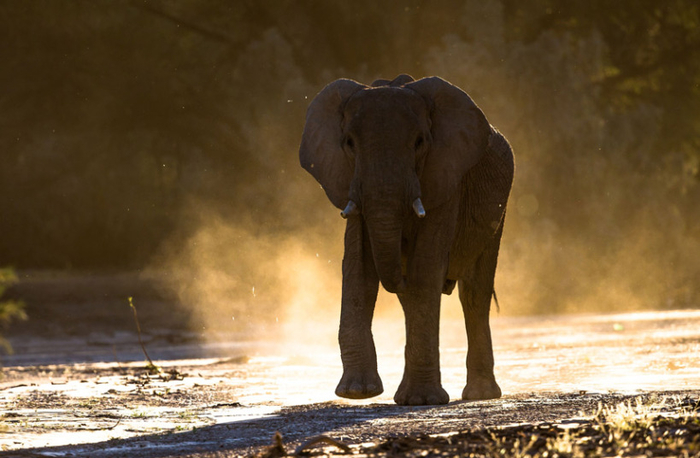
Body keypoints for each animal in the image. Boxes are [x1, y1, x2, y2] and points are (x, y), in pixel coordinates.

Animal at [296, 74, 516, 404]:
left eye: (420, 143)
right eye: (349, 143)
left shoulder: (446, 178)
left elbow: (425, 267)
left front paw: (422, 401)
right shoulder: (351, 182)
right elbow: (358, 267)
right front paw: (357, 393)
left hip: (497, 214)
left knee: (475, 293)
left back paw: (480, 395)